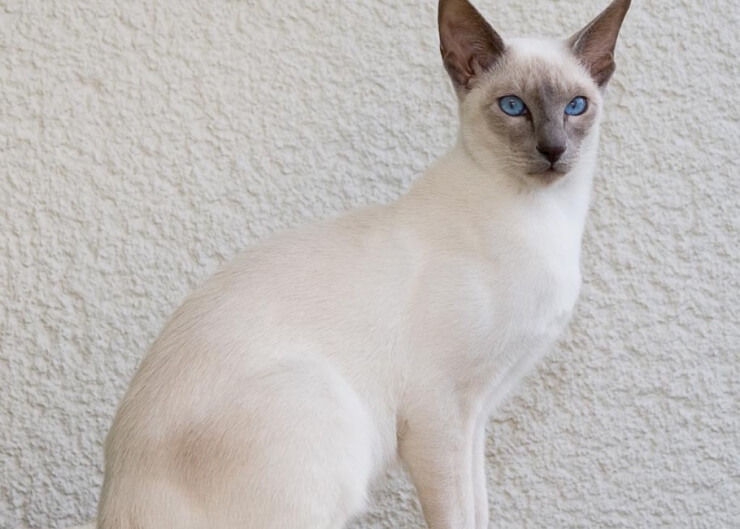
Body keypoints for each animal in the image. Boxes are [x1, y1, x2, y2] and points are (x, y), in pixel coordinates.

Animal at [97, 1, 632, 528]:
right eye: (514, 107)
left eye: (576, 106)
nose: (554, 150)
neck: (546, 218)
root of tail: (113, 500)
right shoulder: (441, 411)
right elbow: (456, 514)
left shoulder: (477, 413)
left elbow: (479, 509)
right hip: (323, 407)